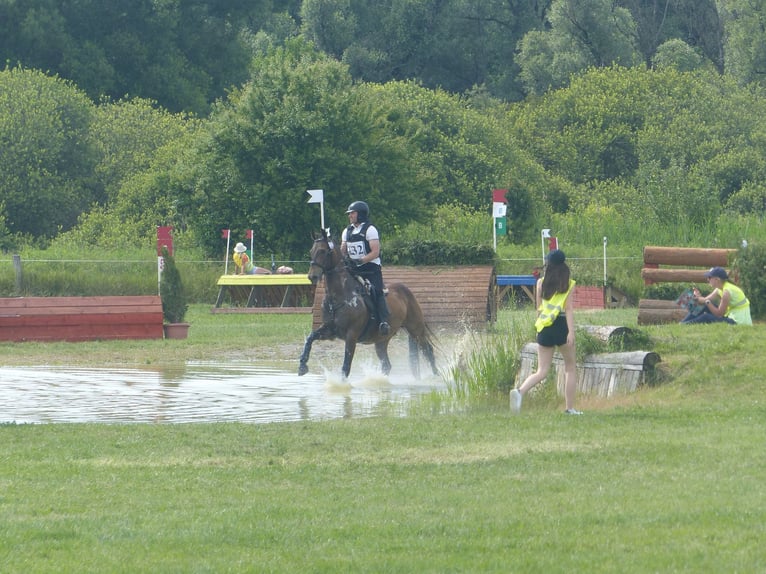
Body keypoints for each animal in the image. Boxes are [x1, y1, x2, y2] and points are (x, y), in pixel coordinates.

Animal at [298, 230, 438, 382]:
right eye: (311, 251)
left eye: (323, 251)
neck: (339, 297)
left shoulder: (351, 335)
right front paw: (302, 366)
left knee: (428, 351)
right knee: (387, 364)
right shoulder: (330, 330)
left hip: (415, 329)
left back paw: (438, 377)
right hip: (381, 340)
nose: (312, 276)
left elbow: (346, 366)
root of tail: (407, 292)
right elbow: (310, 338)